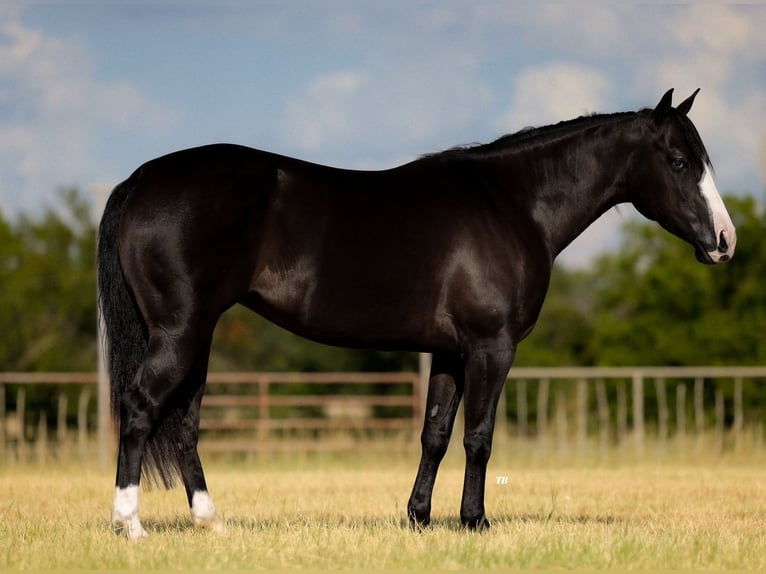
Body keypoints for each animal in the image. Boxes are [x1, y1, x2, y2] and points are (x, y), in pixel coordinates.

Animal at [99, 89, 736, 540]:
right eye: (679, 161)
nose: (725, 241)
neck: (512, 204)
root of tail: (140, 179)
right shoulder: (491, 346)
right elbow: (479, 435)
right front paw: (475, 521)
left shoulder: (450, 351)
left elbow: (435, 433)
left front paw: (420, 517)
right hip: (180, 333)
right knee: (142, 407)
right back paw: (131, 524)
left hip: (196, 336)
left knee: (183, 420)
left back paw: (211, 521)